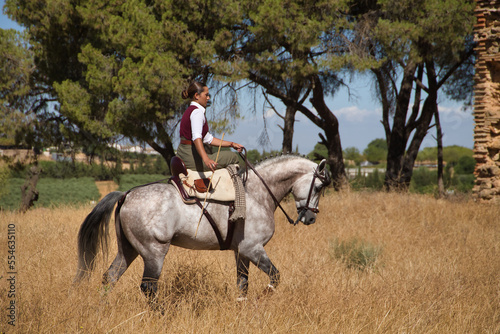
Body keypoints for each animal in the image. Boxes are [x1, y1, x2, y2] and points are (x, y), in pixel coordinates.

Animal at [74, 155, 330, 304]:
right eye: (318, 187)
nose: (310, 218)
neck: (257, 193)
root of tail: (126, 194)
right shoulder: (253, 249)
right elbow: (275, 277)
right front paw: (264, 296)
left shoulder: (242, 252)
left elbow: (242, 284)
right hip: (154, 253)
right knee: (148, 287)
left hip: (128, 250)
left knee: (110, 277)